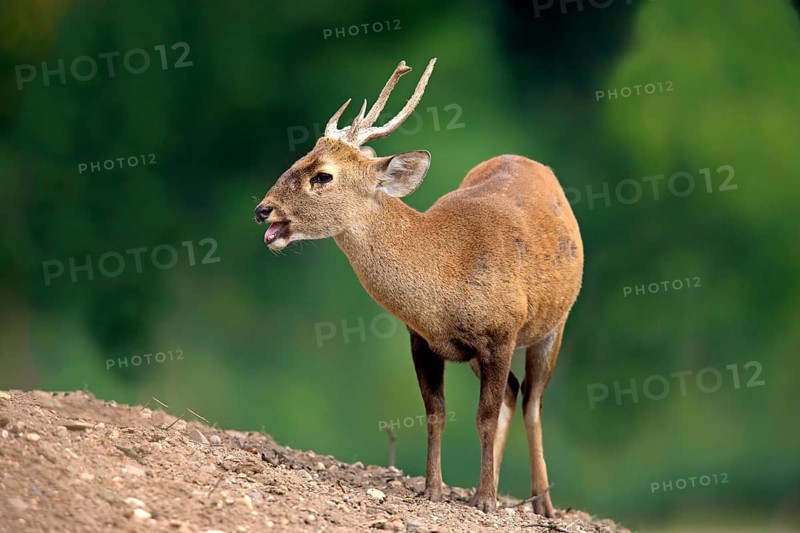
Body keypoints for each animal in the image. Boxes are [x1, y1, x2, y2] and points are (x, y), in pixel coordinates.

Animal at [254, 58, 583, 515]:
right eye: (303, 156)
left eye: (323, 175)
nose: (263, 209)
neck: (445, 274)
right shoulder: (422, 339)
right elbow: (436, 412)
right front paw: (433, 489)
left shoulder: (501, 333)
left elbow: (482, 416)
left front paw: (485, 502)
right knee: (513, 393)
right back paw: (491, 485)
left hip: (554, 323)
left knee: (532, 401)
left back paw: (541, 503)